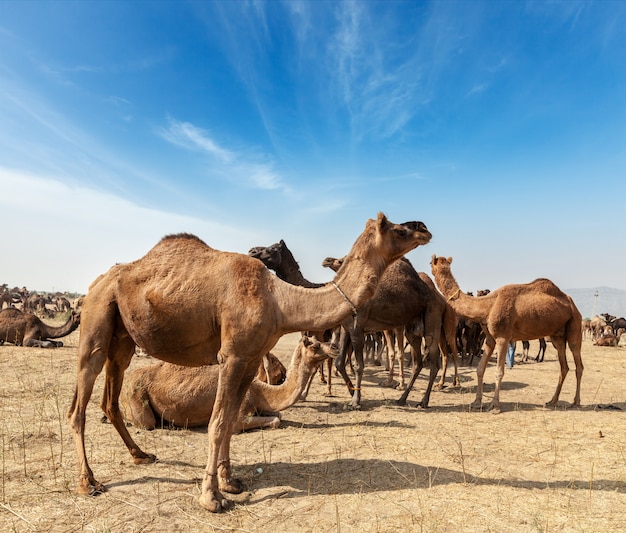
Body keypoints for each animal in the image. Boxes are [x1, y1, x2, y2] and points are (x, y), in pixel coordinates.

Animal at [120, 336, 336, 432]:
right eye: (314, 345)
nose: (334, 346)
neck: (259, 390)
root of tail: (126, 383)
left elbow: (279, 414)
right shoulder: (239, 417)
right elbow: (275, 420)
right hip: (138, 399)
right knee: (146, 422)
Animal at [428, 256, 580, 414]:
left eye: (431, 263)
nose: (430, 268)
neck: (487, 305)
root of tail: (571, 303)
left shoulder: (503, 338)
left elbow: (499, 371)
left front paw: (494, 406)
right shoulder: (490, 339)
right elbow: (480, 369)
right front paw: (476, 402)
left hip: (575, 324)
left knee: (578, 363)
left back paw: (575, 402)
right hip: (558, 337)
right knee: (564, 366)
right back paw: (552, 400)